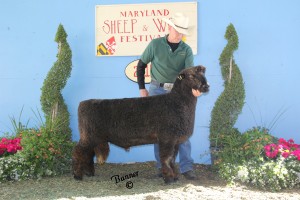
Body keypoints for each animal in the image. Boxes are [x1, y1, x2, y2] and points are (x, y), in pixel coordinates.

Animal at [72, 65, 209, 183]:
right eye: (191, 76)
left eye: (203, 74)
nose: (206, 86)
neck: (177, 102)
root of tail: (83, 103)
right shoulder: (167, 138)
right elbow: (166, 158)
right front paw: (169, 179)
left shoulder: (175, 140)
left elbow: (172, 159)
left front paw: (174, 177)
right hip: (88, 136)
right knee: (79, 152)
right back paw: (77, 175)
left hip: (93, 138)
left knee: (88, 154)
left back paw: (89, 173)